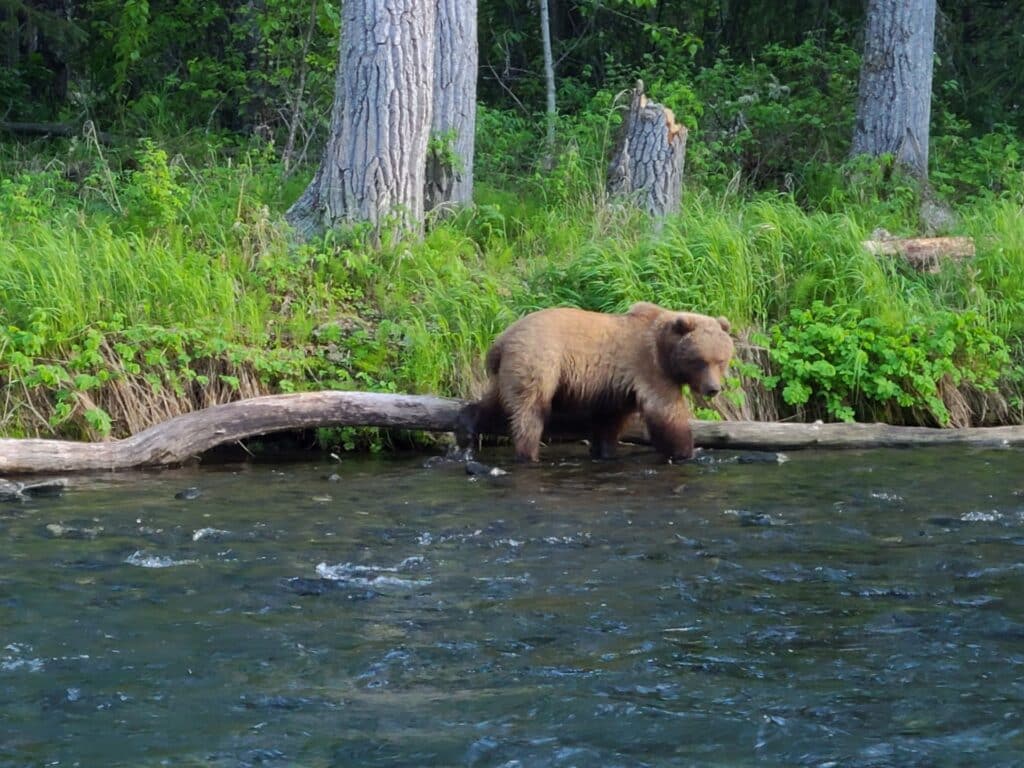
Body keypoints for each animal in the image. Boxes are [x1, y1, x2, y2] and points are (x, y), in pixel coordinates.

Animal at [455, 302, 734, 462]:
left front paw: (605, 451)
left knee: (496, 403)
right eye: (700, 360)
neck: (666, 353)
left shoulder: (617, 385)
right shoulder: (649, 368)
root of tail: (501, 341)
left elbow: (610, 420)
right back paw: (528, 454)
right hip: (538, 359)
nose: (713, 389)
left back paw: (467, 424)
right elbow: (666, 413)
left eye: (721, 360)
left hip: (508, 370)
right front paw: (685, 452)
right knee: (530, 411)